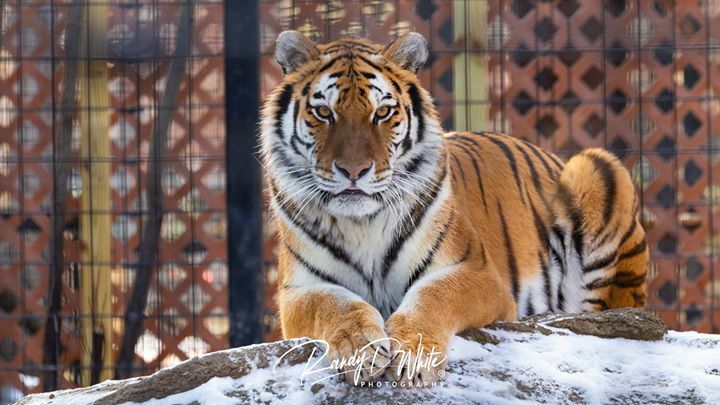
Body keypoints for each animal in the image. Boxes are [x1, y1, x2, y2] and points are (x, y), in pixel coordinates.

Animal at [260, 31, 649, 386]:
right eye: (324, 112)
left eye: (382, 112)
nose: (354, 171)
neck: (363, 223)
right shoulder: (298, 291)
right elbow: (336, 305)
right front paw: (361, 349)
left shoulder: (477, 272)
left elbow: (432, 296)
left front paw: (414, 355)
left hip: (595, 168)